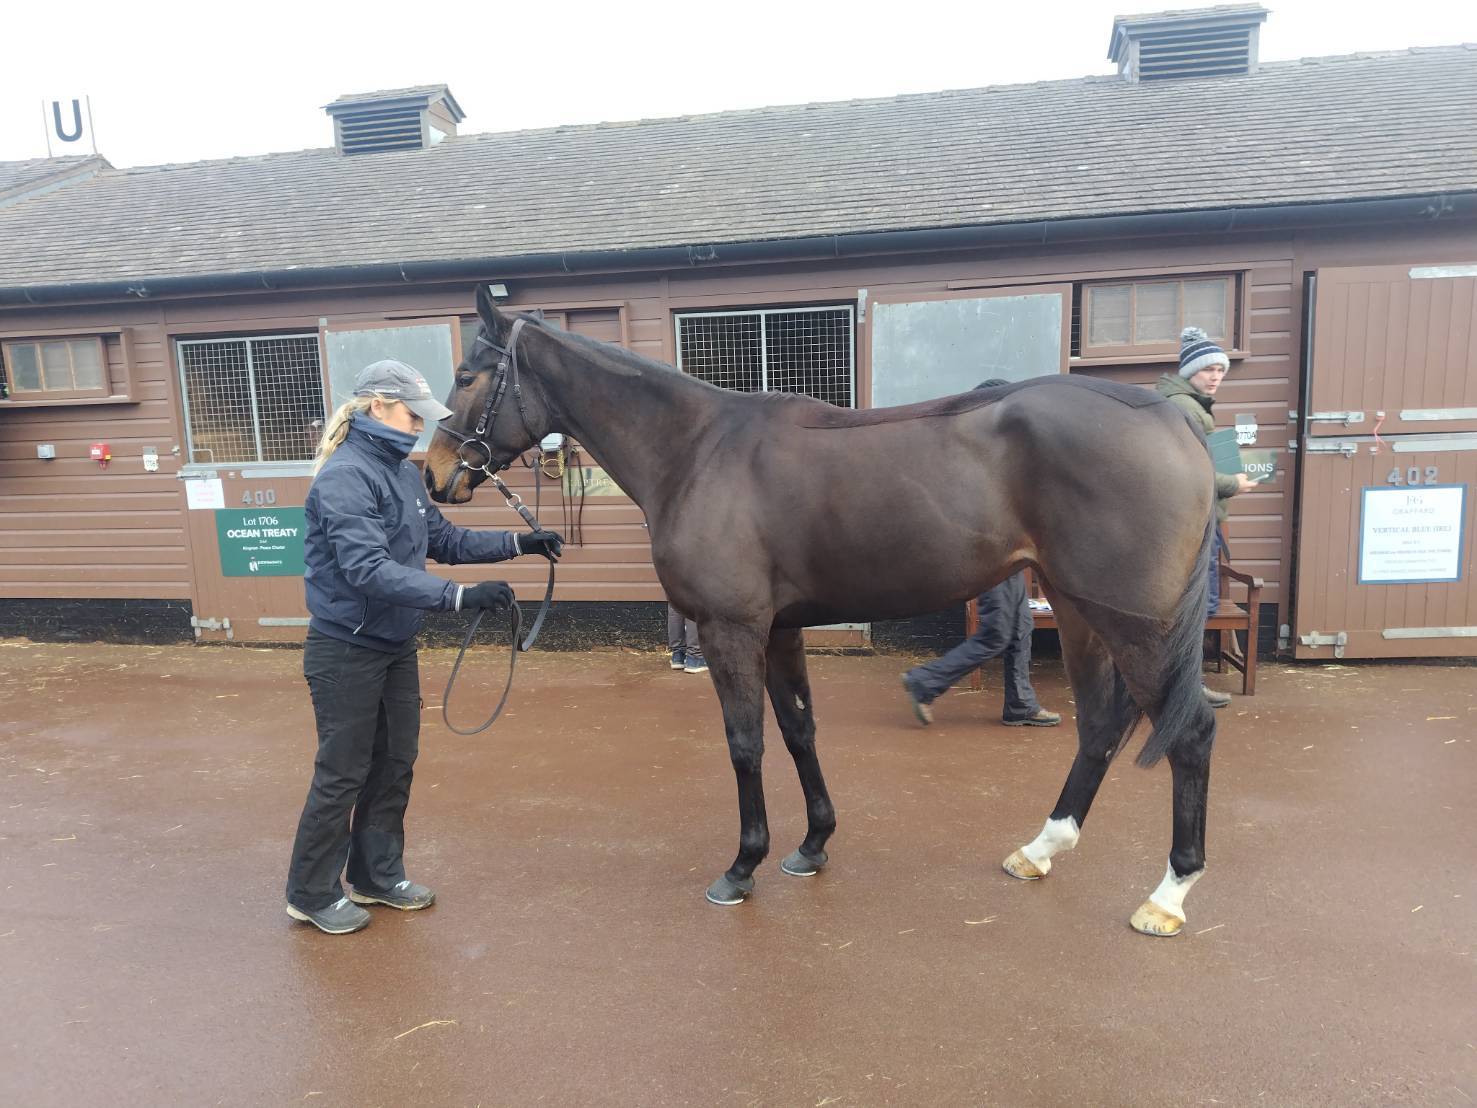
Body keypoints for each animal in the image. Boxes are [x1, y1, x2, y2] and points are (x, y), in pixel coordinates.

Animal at [422, 286, 1217, 939]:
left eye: (466, 376)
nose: (433, 474)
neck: (697, 450)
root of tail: (1174, 424)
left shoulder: (731, 629)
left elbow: (746, 743)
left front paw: (742, 867)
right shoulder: (777, 630)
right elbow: (799, 730)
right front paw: (811, 846)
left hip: (1134, 625)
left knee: (1190, 731)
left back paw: (1168, 896)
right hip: (1083, 615)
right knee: (1101, 727)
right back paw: (1040, 850)